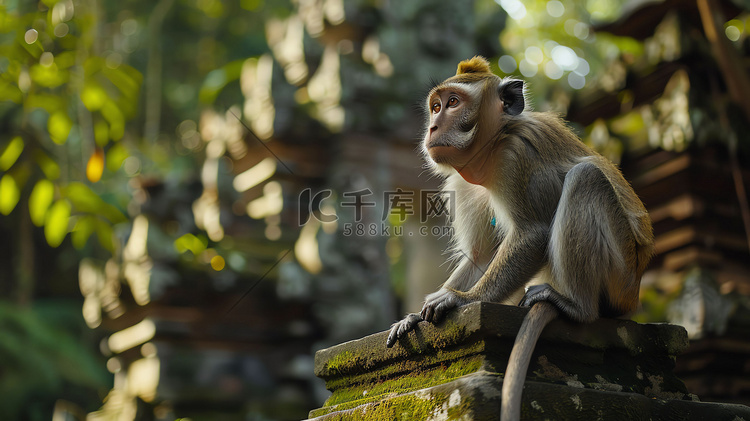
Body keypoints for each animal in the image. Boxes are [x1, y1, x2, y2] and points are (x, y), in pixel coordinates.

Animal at [384, 56, 656, 420]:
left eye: (453, 103)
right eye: (436, 107)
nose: (432, 128)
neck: (493, 147)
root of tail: (635, 290)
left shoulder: (517, 158)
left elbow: (533, 233)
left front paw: (462, 300)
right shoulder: (465, 184)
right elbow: (481, 256)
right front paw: (419, 313)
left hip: (621, 272)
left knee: (586, 178)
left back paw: (576, 306)